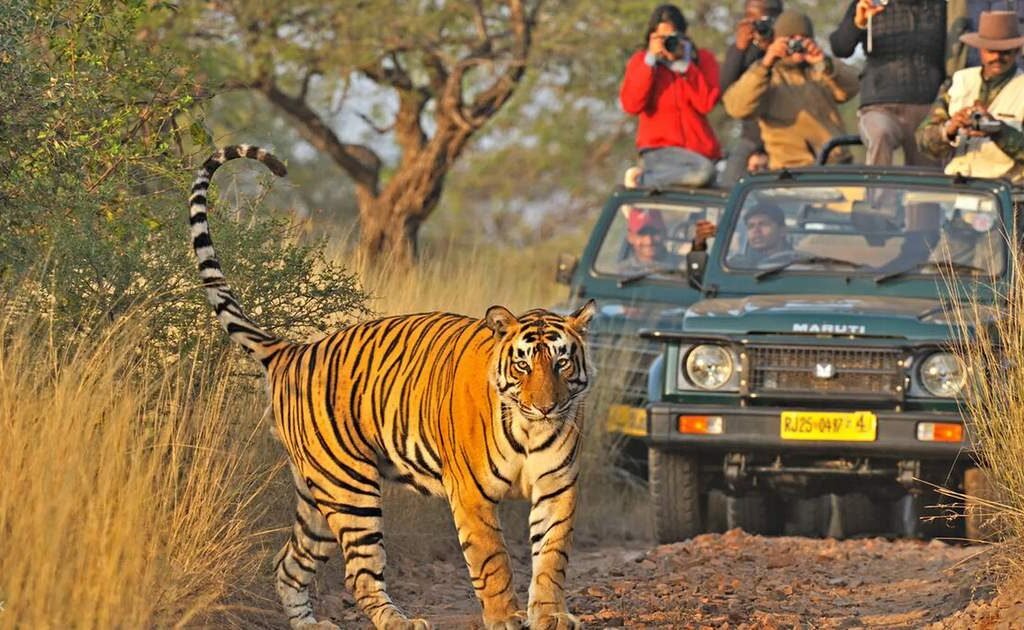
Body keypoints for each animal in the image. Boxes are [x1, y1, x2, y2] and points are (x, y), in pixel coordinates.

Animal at [188, 145, 596, 630]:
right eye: (522, 365)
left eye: (562, 362)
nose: (547, 407)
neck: (530, 430)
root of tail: (294, 350)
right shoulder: (472, 496)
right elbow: (493, 561)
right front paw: (505, 618)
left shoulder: (557, 487)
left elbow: (551, 557)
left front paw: (552, 615)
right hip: (350, 489)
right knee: (360, 574)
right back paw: (399, 621)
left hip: (316, 496)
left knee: (287, 563)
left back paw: (310, 623)